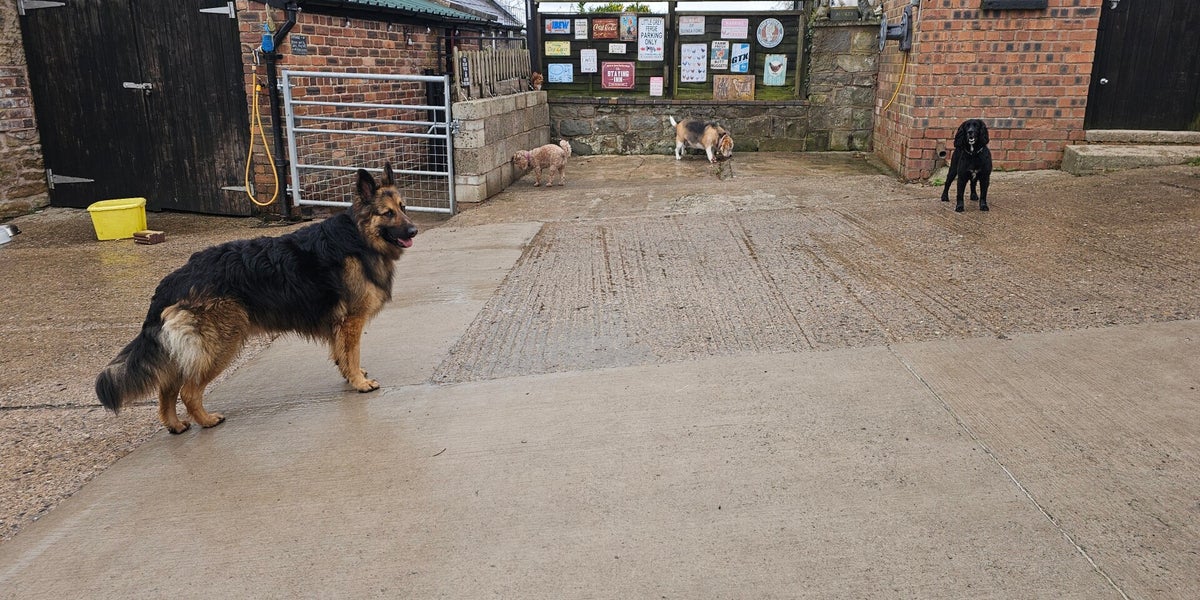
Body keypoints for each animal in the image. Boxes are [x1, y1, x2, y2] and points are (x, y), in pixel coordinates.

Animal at [95, 163, 418, 434]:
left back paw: (175, 425)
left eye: (403, 208)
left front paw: (353, 376)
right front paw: (360, 383)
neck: (359, 238)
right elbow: (352, 353)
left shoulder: (341, 325)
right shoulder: (351, 320)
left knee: (167, 388)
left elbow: (343, 355)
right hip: (220, 344)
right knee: (187, 391)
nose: (414, 230)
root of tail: (175, 279)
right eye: (387, 213)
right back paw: (206, 421)